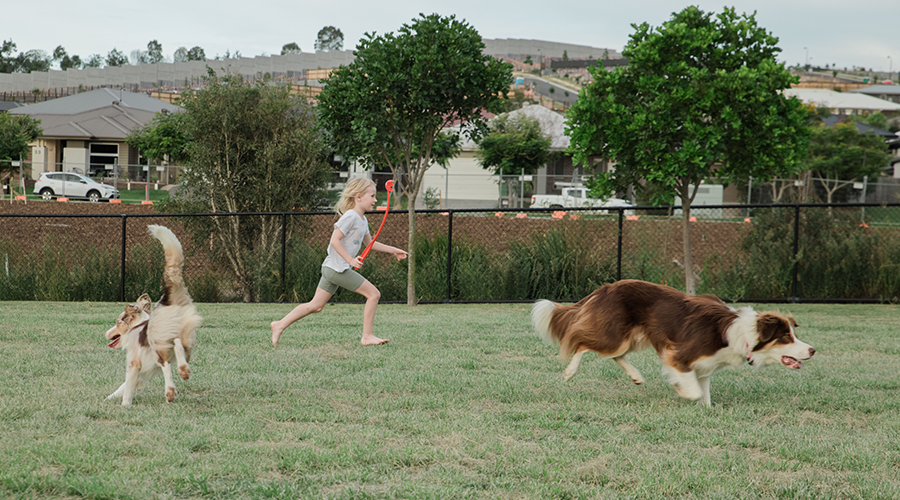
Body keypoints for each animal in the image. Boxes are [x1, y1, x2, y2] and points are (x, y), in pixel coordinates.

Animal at [104, 227, 202, 406]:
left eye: (118, 322)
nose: (105, 333)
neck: (137, 326)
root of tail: (169, 300)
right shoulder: (142, 372)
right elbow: (123, 387)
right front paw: (110, 398)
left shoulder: (134, 363)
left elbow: (127, 388)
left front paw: (125, 405)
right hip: (188, 338)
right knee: (179, 348)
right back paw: (183, 371)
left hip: (158, 344)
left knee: (167, 362)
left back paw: (170, 391)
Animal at [536, 282, 816, 406]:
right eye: (786, 338)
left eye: (793, 334)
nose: (813, 350)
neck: (742, 335)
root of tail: (605, 288)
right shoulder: (679, 356)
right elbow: (693, 390)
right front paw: (681, 390)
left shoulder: (704, 367)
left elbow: (705, 395)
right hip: (615, 336)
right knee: (581, 341)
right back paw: (570, 372)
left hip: (633, 337)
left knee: (615, 355)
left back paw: (636, 376)